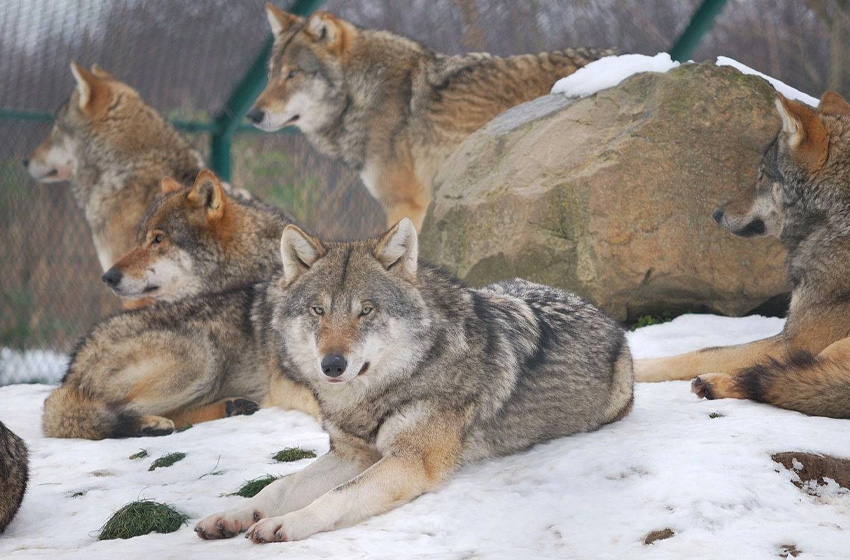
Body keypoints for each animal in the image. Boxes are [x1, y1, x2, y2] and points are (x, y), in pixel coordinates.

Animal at [192, 218, 628, 544]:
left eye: (366, 311)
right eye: (318, 310)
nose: (332, 365)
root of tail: (602, 312)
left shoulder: (409, 462)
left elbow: (335, 496)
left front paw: (286, 523)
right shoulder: (351, 455)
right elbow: (278, 488)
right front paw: (231, 516)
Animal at [636, 89, 850, 418]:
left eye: (762, 175)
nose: (716, 213)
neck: (837, 214)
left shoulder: (793, 343)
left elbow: (700, 352)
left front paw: (636, 365)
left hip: (832, 350)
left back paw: (713, 385)